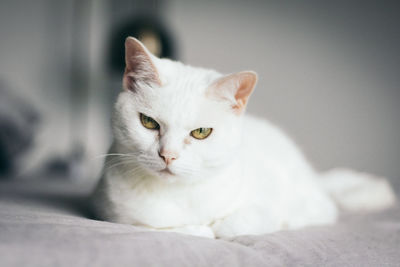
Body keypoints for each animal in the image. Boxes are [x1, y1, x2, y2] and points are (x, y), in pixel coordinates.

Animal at [91, 37, 396, 239]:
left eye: (201, 132)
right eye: (148, 123)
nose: (168, 155)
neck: (178, 194)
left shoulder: (264, 204)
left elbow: (238, 223)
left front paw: (217, 227)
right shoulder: (110, 212)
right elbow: (164, 228)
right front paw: (196, 228)